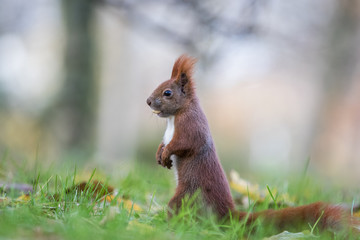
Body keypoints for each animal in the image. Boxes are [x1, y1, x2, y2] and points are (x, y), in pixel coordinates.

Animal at [146, 55, 360, 232]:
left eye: (167, 92)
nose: (148, 101)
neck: (173, 118)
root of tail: (226, 215)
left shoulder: (191, 125)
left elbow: (185, 143)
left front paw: (166, 152)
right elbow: (164, 143)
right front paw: (159, 153)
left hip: (187, 196)